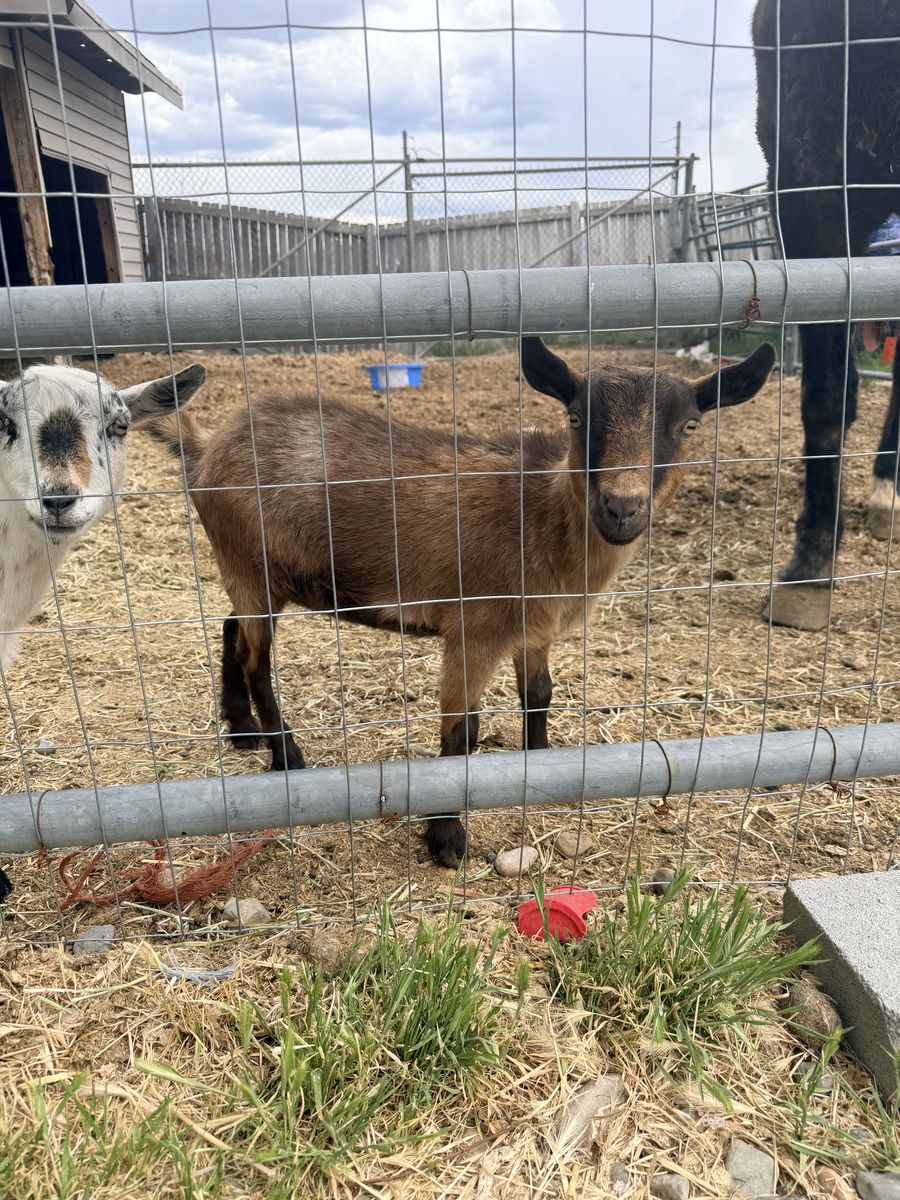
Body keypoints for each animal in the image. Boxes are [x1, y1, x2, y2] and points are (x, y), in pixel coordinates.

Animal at [152, 338, 774, 869]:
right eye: (576, 420)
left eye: (688, 425)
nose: (622, 508)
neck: (540, 517)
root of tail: (205, 449)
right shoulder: (475, 629)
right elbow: (461, 729)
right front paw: (446, 836)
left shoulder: (534, 629)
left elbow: (538, 697)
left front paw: (539, 765)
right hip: (250, 565)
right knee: (257, 659)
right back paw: (287, 758)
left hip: (258, 576)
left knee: (231, 628)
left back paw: (242, 728)